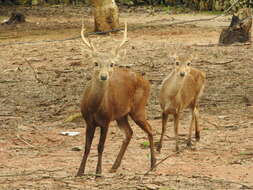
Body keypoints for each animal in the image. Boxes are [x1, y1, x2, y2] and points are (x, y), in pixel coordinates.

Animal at [75, 22, 156, 177]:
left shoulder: (106, 120)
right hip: (121, 115)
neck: (94, 108)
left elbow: (100, 146)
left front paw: (98, 172)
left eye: (111, 64)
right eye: (95, 63)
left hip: (138, 107)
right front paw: (79, 171)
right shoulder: (88, 121)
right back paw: (114, 166)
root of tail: (146, 81)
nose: (104, 76)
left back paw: (153, 165)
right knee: (129, 133)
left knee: (150, 129)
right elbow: (87, 146)